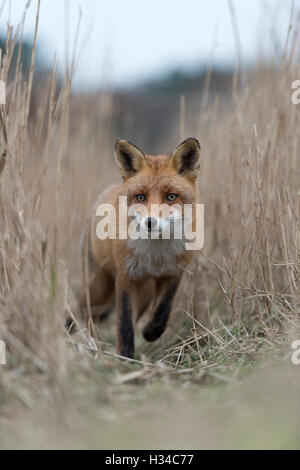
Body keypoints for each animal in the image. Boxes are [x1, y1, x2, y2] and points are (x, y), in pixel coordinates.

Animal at [79, 138, 202, 358]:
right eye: (141, 197)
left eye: (171, 197)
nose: (150, 222)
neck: (156, 256)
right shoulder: (126, 277)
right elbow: (124, 324)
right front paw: (125, 357)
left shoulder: (173, 274)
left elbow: (161, 313)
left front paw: (150, 333)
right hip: (98, 287)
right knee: (84, 310)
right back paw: (86, 342)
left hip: (144, 293)